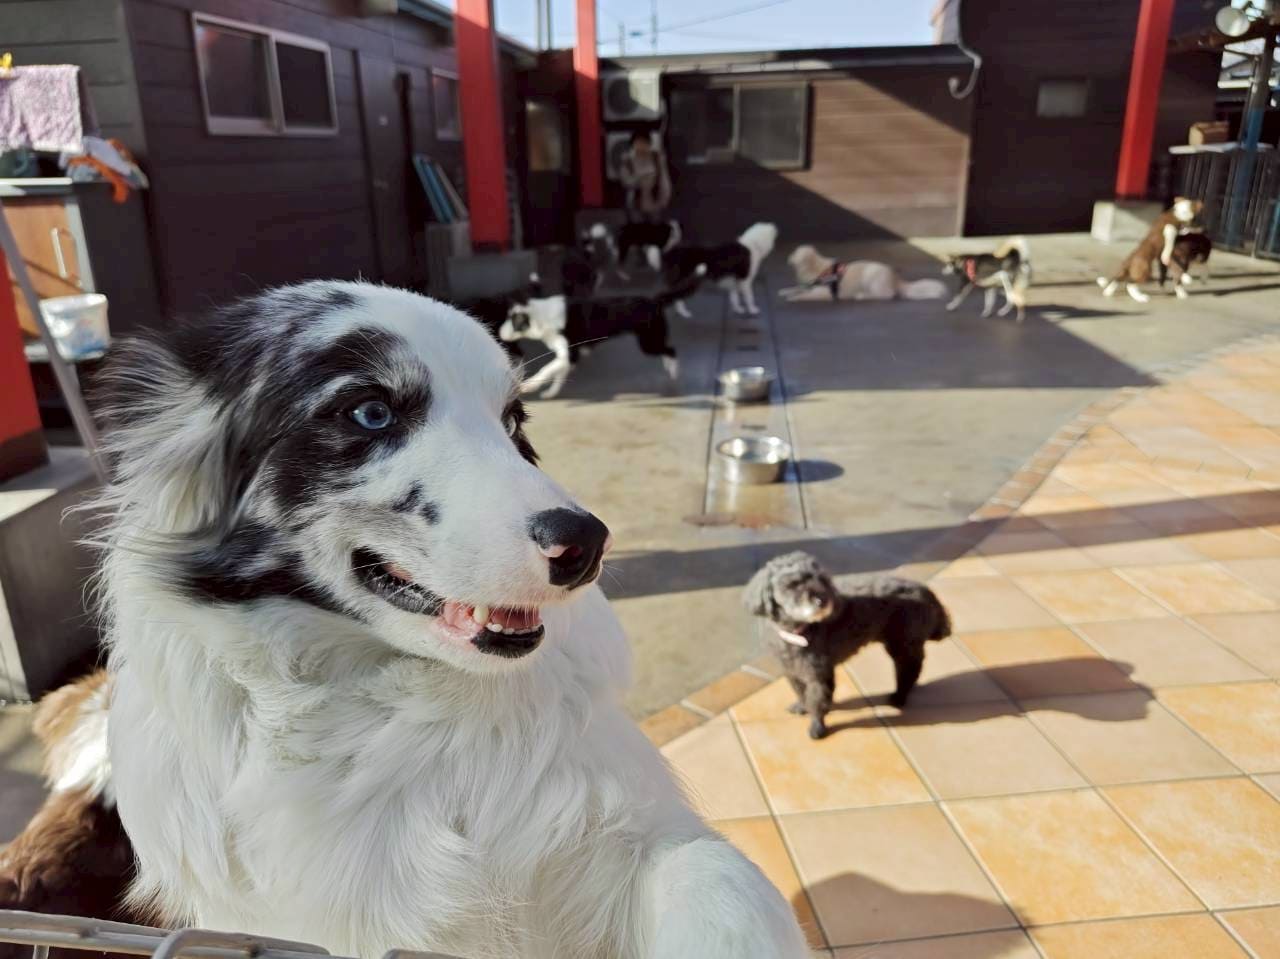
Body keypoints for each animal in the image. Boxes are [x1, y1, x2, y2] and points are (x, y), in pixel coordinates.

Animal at [499, 273, 703, 399]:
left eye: (513, 322)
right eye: (508, 317)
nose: (499, 332)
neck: (541, 316)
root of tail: (655, 300)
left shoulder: (569, 355)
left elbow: (547, 369)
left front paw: (529, 385)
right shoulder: (568, 357)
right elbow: (557, 374)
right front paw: (551, 393)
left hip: (648, 343)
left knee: (671, 350)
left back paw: (674, 371)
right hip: (652, 340)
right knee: (667, 349)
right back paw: (669, 367)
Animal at [743, 552, 951, 740]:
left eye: (822, 580)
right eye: (792, 584)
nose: (822, 600)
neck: (797, 631)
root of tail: (926, 591)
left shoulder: (818, 674)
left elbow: (818, 702)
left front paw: (817, 727)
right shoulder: (792, 671)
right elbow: (802, 693)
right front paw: (802, 706)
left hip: (902, 644)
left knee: (909, 670)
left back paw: (899, 697)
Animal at [781, 245, 949, 302]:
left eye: (794, 254)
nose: (789, 257)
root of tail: (896, 279)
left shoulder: (824, 293)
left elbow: (805, 295)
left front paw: (793, 298)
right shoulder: (808, 286)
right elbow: (798, 289)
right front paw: (786, 291)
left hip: (872, 276)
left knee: (887, 296)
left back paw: (862, 296)